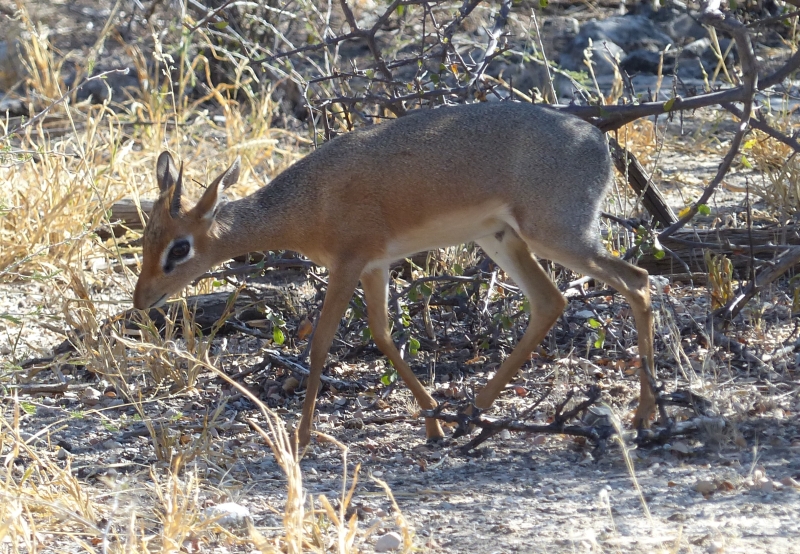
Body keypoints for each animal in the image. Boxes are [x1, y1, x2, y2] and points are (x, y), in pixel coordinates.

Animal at [133, 101, 656, 446]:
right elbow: (383, 336)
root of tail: (599, 142)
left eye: (179, 248)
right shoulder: (375, 265)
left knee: (637, 280)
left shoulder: (347, 264)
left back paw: (645, 416)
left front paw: (302, 435)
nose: (141, 301)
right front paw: (432, 422)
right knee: (551, 301)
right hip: (503, 239)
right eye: (146, 239)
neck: (308, 201)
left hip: (557, 236)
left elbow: (321, 343)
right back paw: (471, 412)